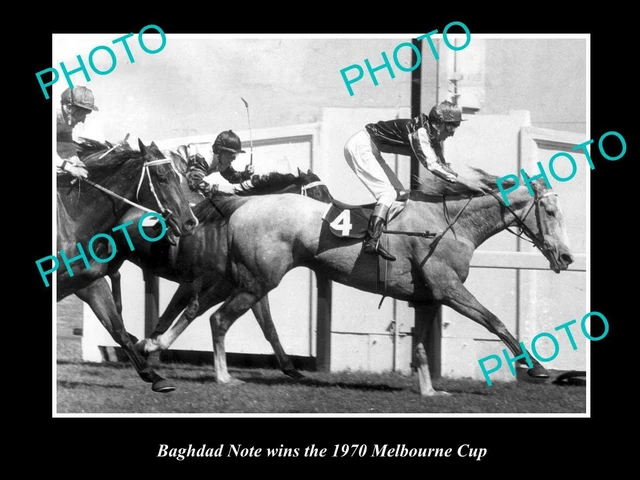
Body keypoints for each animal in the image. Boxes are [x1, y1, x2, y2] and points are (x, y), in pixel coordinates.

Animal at [56, 137, 199, 392]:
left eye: (176, 175)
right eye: (161, 177)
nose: (190, 222)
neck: (72, 221)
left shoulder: (88, 282)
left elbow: (117, 328)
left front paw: (154, 376)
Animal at [104, 167, 330, 380]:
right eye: (318, 193)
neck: (228, 229)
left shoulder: (251, 284)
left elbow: (268, 327)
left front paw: (291, 369)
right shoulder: (196, 283)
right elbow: (173, 316)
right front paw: (147, 347)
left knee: (114, 275)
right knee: (112, 276)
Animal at [141, 169, 576, 398]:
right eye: (551, 212)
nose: (568, 258)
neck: (447, 223)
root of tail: (245, 204)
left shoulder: (427, 297)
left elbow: (421, 345)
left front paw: (430, 391)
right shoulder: (450, 289)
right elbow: (495, 321)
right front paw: (537, 369)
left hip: (239, 277)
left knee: (195, 307)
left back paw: (153, 346)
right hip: (259, 280)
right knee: (218, 320)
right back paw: (221, 375)